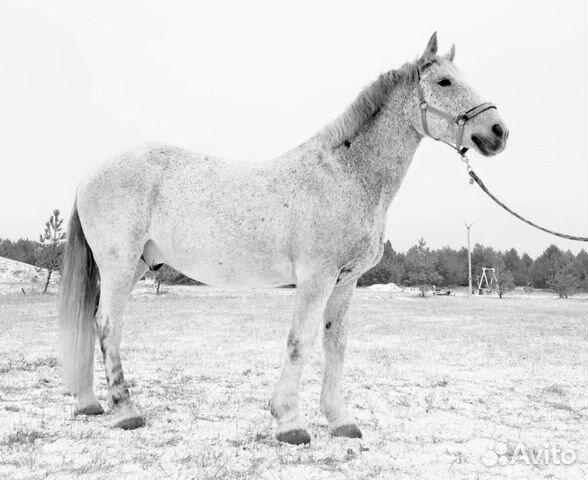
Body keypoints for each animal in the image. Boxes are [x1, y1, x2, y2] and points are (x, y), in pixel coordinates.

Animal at [59, 33, 506, 444]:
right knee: (108, 324)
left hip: (134, 266)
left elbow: (335, 344)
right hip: (119, 265)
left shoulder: (345, 281)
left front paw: (340, 420)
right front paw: (289, 422)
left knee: (95, 321)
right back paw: (126, 411)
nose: (498, 131)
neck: (344, 175)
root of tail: (88, 174)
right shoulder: (316, 278)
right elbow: (300, 341)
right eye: (445, 81)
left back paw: (89, 402)